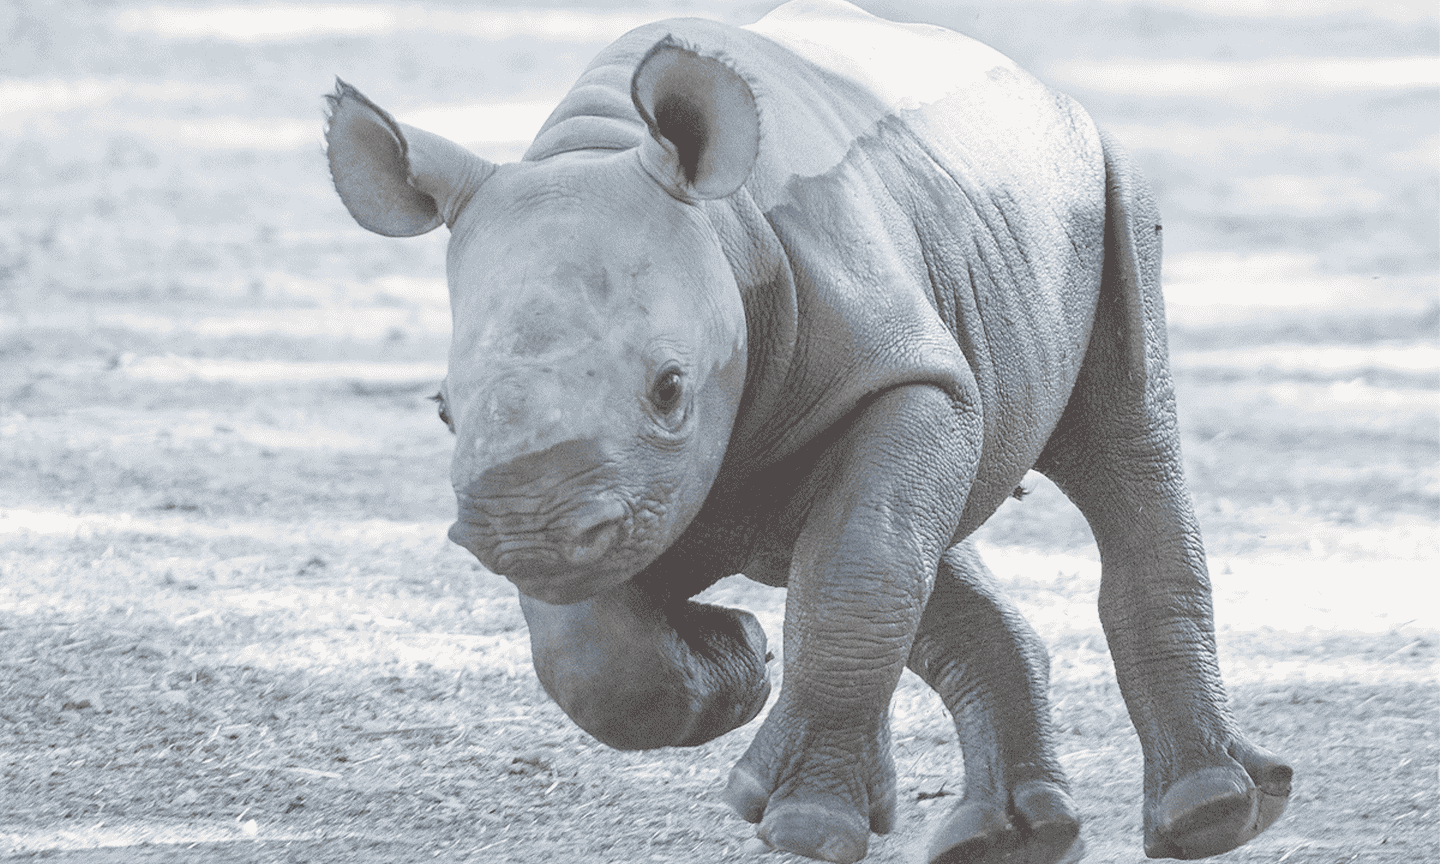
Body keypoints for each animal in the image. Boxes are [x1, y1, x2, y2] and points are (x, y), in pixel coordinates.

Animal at [322, 1, 1292, 861]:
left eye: (671, 390)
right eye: (442, 410)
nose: (523, 532)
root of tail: (1030, 80)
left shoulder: (899, 373)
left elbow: (858, 566)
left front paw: (800, 814)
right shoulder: (591, 485)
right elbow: (590, 648)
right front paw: (733, 665)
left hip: (1099, 175)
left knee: (1119, 453)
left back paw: (1208, 815)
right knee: (907, 540)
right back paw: (1006, 839)